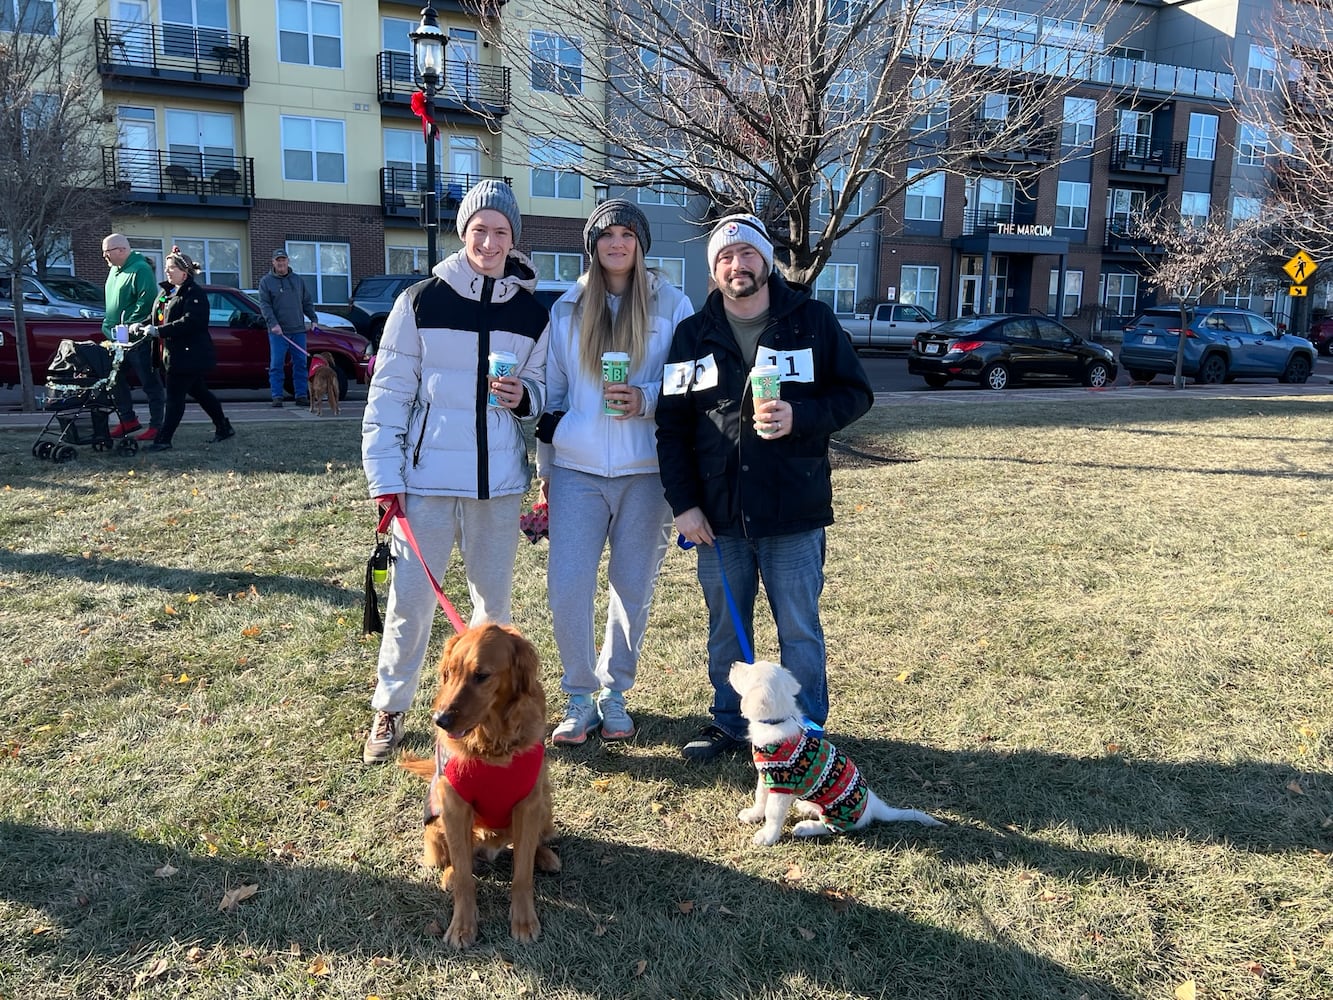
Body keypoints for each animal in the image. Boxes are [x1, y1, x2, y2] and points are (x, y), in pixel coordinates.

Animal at [397, 624, 559, 949]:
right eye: (449, 673)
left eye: (481, 675)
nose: (441, 719)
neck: (492, 746)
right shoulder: (455, 808)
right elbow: (464, 878)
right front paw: (462, 927)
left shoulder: (528, 804)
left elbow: (522, 874)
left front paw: (524, 921)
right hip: (436, 820)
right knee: (452, 862)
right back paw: (448, 875)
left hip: (545, 804)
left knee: (534, 843)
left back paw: (546, 856)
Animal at [730, 661, 949, 848]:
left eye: (748, 673)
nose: (733, 664)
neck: (777, 722)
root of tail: (874, 805)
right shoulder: (766, 776)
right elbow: (760, 798)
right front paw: (753, 815)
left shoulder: (782, 785)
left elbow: (773, 812)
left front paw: (767, 836)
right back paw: (807, 807)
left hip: (837, 813)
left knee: (832, 829)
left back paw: (806, 827)